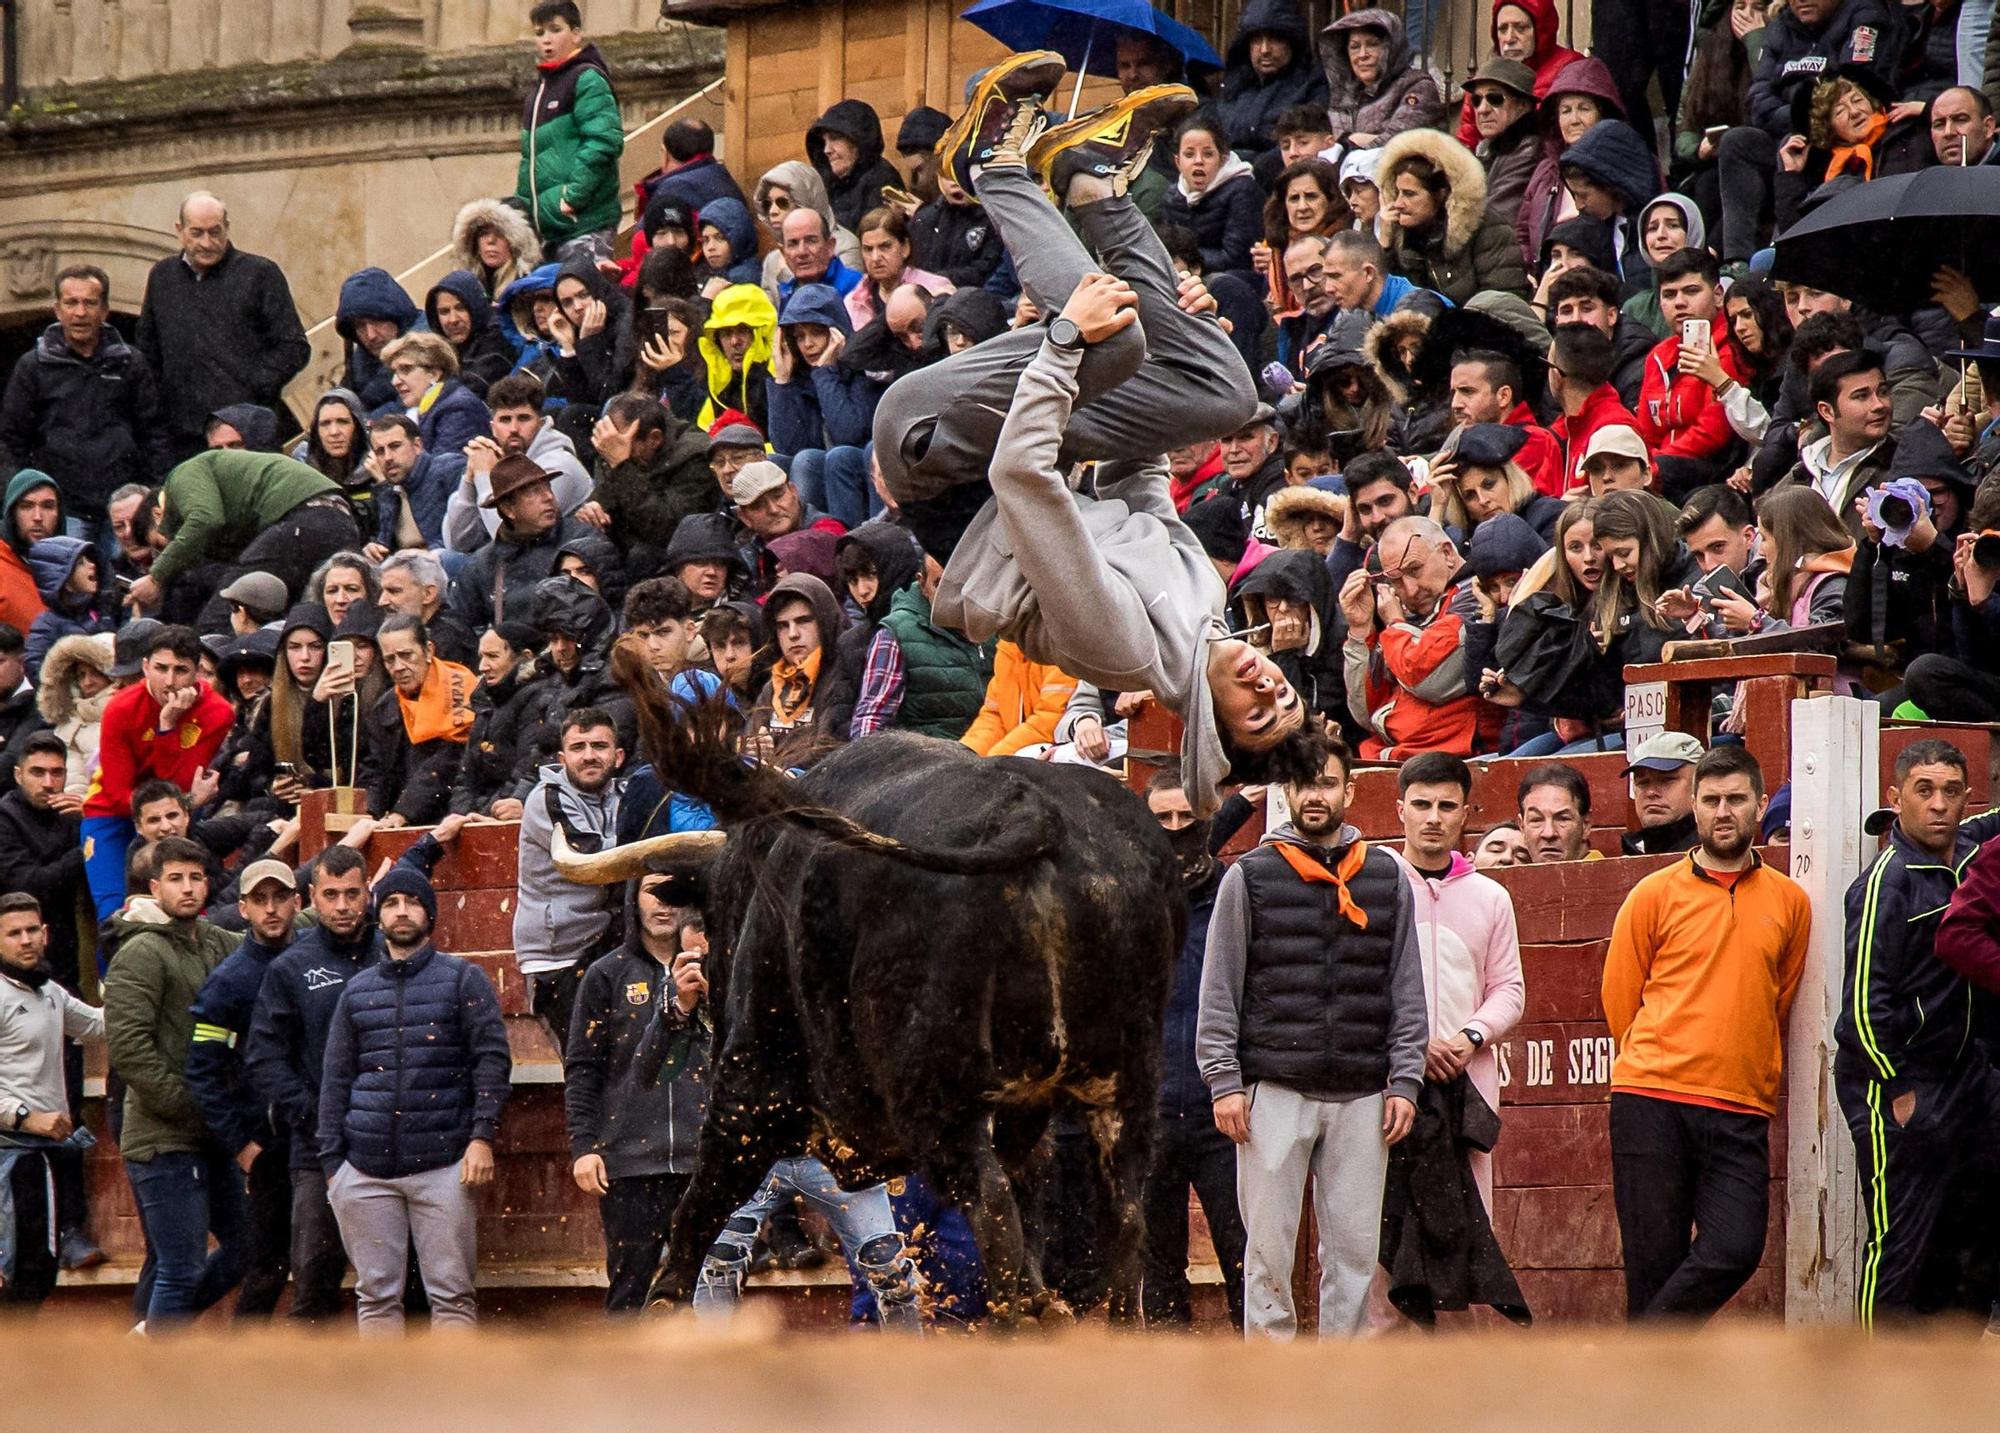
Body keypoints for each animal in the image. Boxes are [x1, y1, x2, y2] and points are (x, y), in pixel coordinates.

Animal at [620, 732, 1184, 1328]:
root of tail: (1036, 812)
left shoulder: (754, 1081)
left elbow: (703, 1196)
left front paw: (662, 1302)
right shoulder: (1025, 1107)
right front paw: (1043, 1300)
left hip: (933, 1094)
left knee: (992, 1205)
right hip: (1125, 1085)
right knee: (1122, 1212)